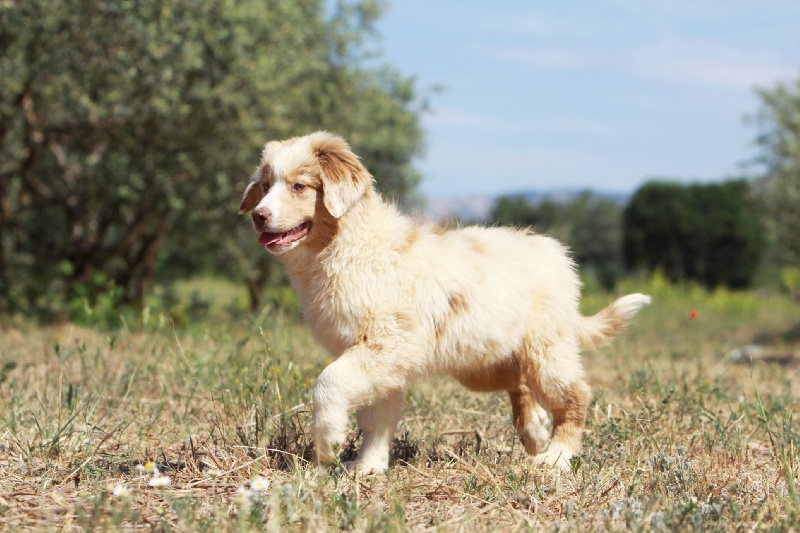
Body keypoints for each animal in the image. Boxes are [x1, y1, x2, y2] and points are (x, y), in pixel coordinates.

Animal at [239, 132, 648, 470]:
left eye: (299, 186)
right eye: (265, 186)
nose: (258, 216)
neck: (346, 247)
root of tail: (557, 254)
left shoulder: (386, 343)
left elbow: (329, 382)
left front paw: (328, 443)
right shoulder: (380, 360)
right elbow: (377, 419)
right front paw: (367, 467)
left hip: (547, 348)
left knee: (574, 395)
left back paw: (556, 456)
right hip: (483, 362)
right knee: (520, 384)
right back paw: (534, 431)